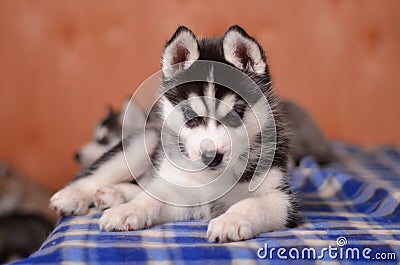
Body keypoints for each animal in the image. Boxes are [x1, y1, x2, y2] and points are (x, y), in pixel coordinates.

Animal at [50, 26, 298, 241]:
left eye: (236, 113)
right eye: (189, 114)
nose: (211, 157)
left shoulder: (282, 198)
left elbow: (251, 204)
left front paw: (231, 220)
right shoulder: (180, 193)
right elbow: (151, 199)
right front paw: (128, 210)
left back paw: (113, 194)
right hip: (143, 141)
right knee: (99, 177)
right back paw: (75, 196)